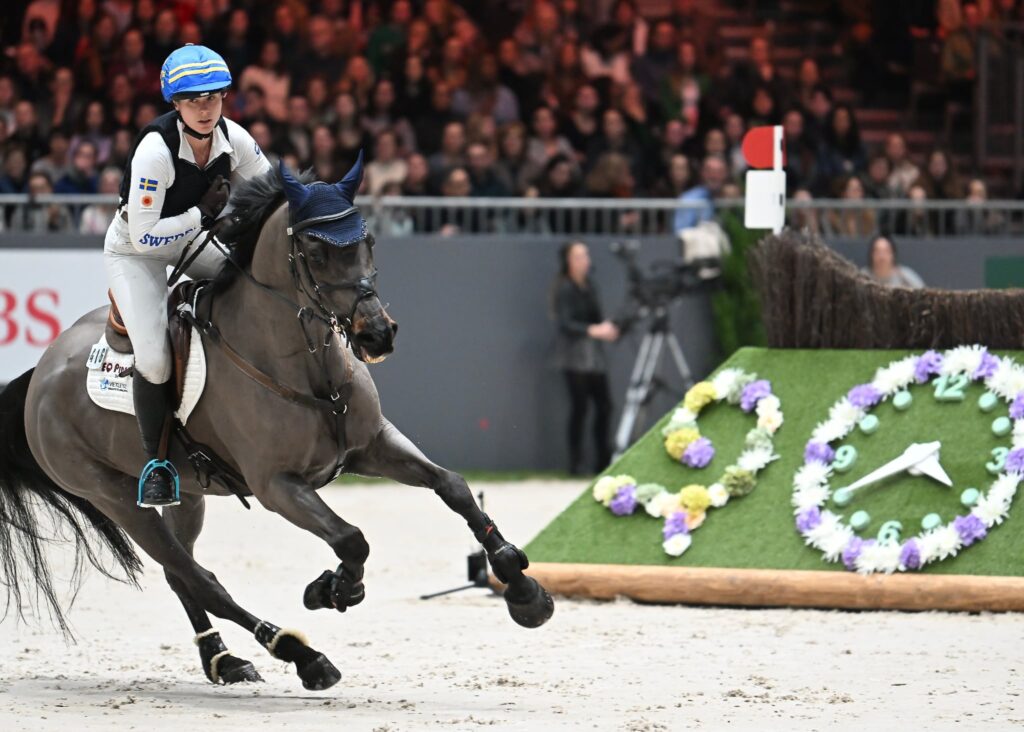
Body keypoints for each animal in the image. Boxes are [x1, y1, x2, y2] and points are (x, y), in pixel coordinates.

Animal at [0, 162, 553, 690]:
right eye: (315, 250)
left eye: (368, 240)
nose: (376, 335)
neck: (304, 364)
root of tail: (41, 371)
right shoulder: (277, 485)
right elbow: (351, 539)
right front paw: (335, 588)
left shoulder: (373, 445)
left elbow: (452, 486)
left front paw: (523, 588)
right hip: (114, 496)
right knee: (200, 579)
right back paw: (300, 654)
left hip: (189, 496)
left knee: (182, 575)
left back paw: (224, 661)